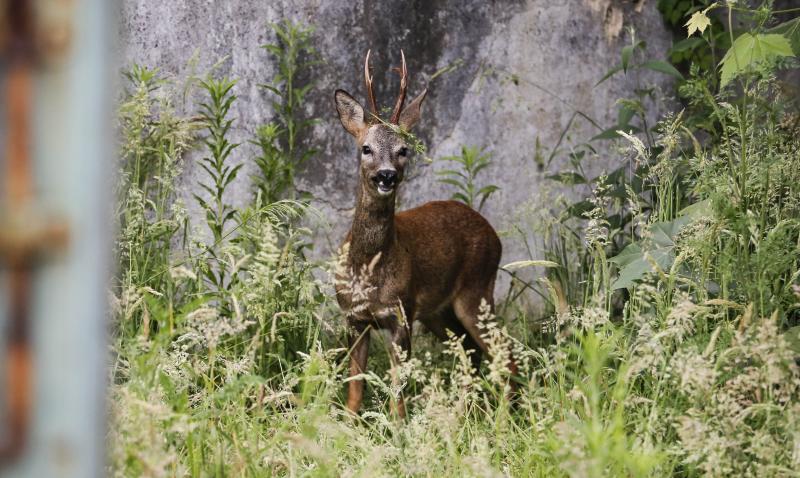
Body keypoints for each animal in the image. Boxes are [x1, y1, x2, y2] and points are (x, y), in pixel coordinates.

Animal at [332, 50, 516, 416]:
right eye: (365, 148)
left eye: (404, 149)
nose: (386, 175)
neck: (367, 269)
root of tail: (492, 232)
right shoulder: (354, 318)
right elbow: (355, 390)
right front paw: (347, 423)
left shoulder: (401, 314)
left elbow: (398, 393)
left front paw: (399, 427)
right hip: (438, 311)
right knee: (471, 351)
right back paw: (465, 412)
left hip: (477, 291)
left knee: (503, 351)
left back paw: (508, 412)